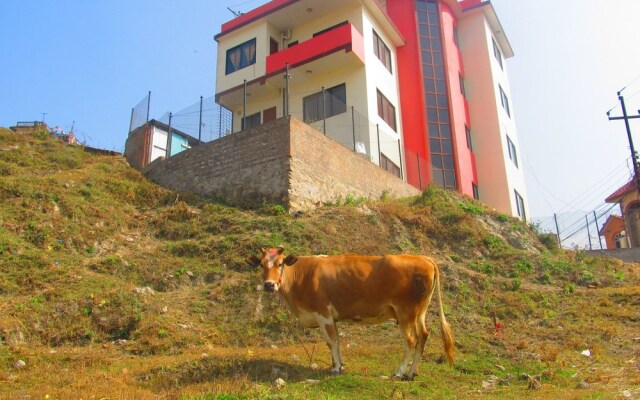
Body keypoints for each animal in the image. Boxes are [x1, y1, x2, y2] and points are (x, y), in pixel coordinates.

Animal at [246, 245, 456, 380]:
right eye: (262, 265)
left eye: (280, 263)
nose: (269, 285)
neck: (302, 275)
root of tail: (422, 258)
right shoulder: (332, 317)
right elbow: (338, 341)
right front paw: (339, 364)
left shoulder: (323, 314)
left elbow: (331, 341)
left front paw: (335, 368)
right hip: (419, 312)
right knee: (423, 336)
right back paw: (411, 373)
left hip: (405, 313)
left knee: (411, 341)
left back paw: (399, 372)